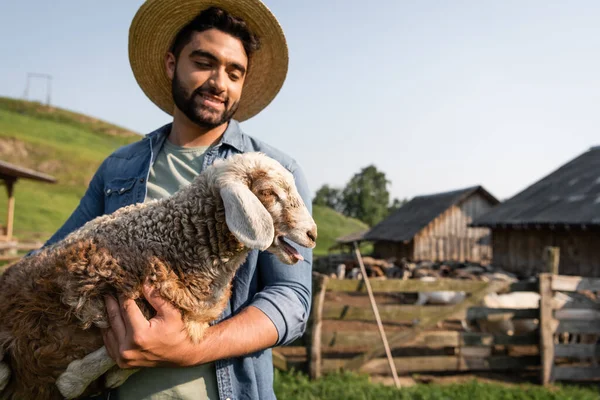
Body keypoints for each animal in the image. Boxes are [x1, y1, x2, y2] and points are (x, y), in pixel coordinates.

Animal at [0, 152, 318, 400]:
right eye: (270, 193)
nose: (312, 234)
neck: (171, 238)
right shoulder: (89, 288)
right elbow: (108, 350)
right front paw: (72, 382)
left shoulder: (181, 319)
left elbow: (129, 351)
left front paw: (110, 376)